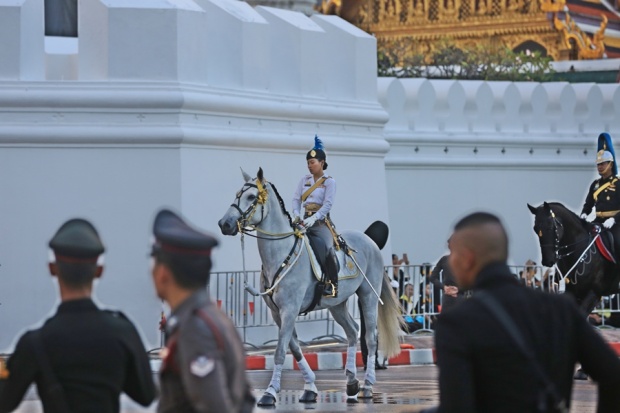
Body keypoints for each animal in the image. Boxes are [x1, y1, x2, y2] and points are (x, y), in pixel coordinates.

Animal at [218, 167, 402, 406]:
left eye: (251, 197)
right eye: (237, 194)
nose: (225, 224)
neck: (280, 255)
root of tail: (369, 240)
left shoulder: (289, 310)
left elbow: (280, 351)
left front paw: (270, 392)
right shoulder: (278, 312)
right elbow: (294, 348)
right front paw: (310, 388)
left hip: (368, 295)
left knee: (370, 337)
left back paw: (367, 385)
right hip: (337, 303)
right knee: (353, 331)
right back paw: (352, 382)